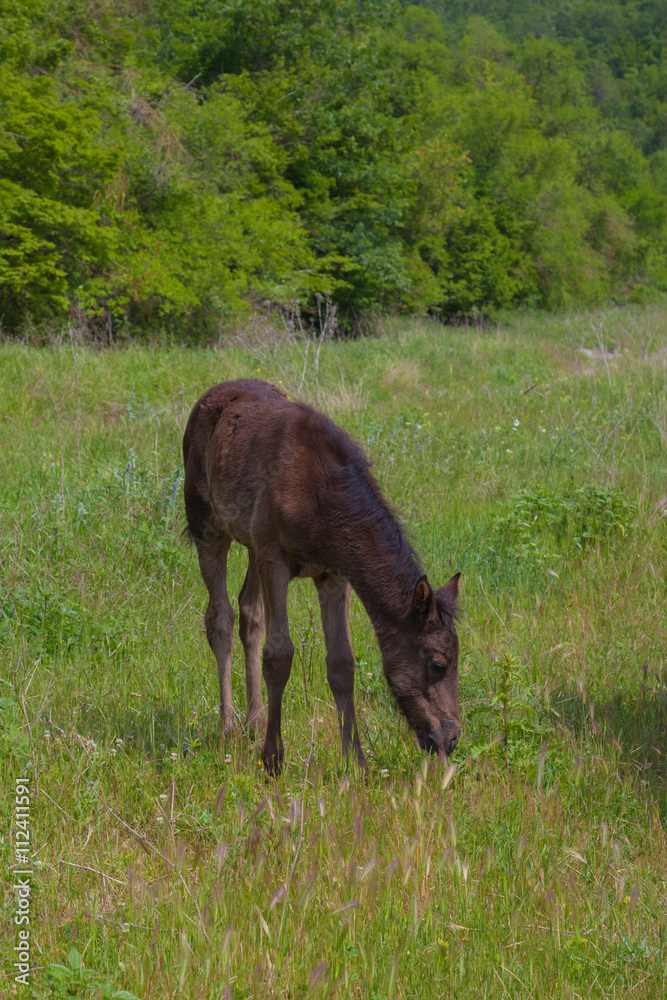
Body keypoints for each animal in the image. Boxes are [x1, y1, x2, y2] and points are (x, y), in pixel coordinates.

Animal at [183, 379, 461, 775]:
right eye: (439, 663)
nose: (450, 739)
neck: (322, 505)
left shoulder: (332, 573)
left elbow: (342, 662)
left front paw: (356, 763)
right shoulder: (275, 557)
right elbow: (279, 655)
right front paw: (273, 759)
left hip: (250, 542)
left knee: (250, 613)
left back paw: (255, 721)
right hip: (207, 525)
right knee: (220, 618)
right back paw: (229, 726)